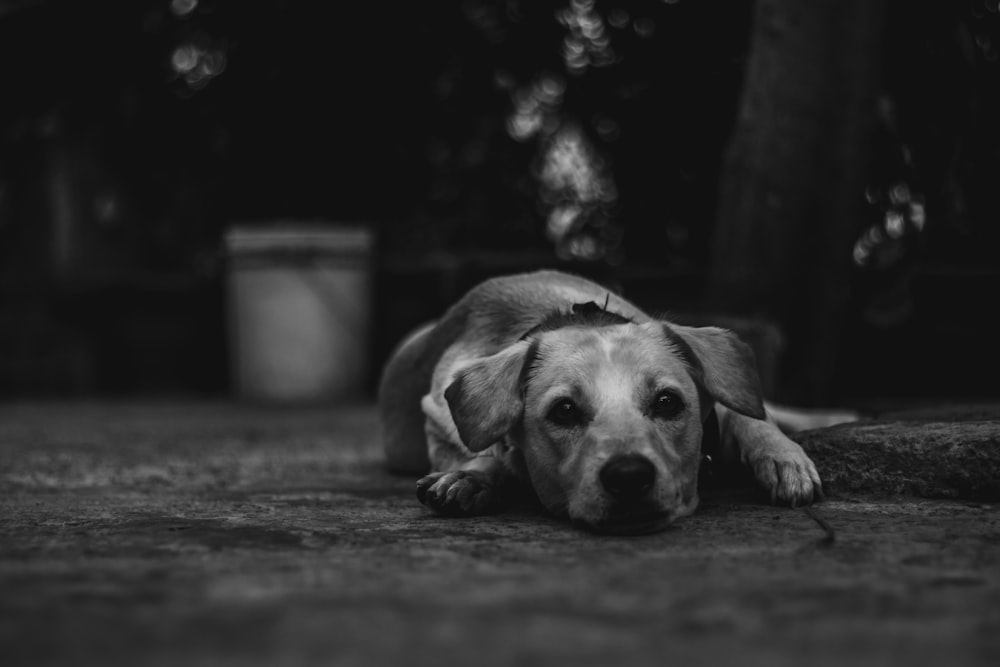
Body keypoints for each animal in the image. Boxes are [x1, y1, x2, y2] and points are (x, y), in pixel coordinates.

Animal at [378, 268, 840, 536]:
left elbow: (750, 416)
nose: (630, 476)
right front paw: (472, 476)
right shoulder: (437, 419)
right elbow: (488, 453)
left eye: (668, 402)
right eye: (564, 411)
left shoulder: (724, 397)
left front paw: (782, 457)